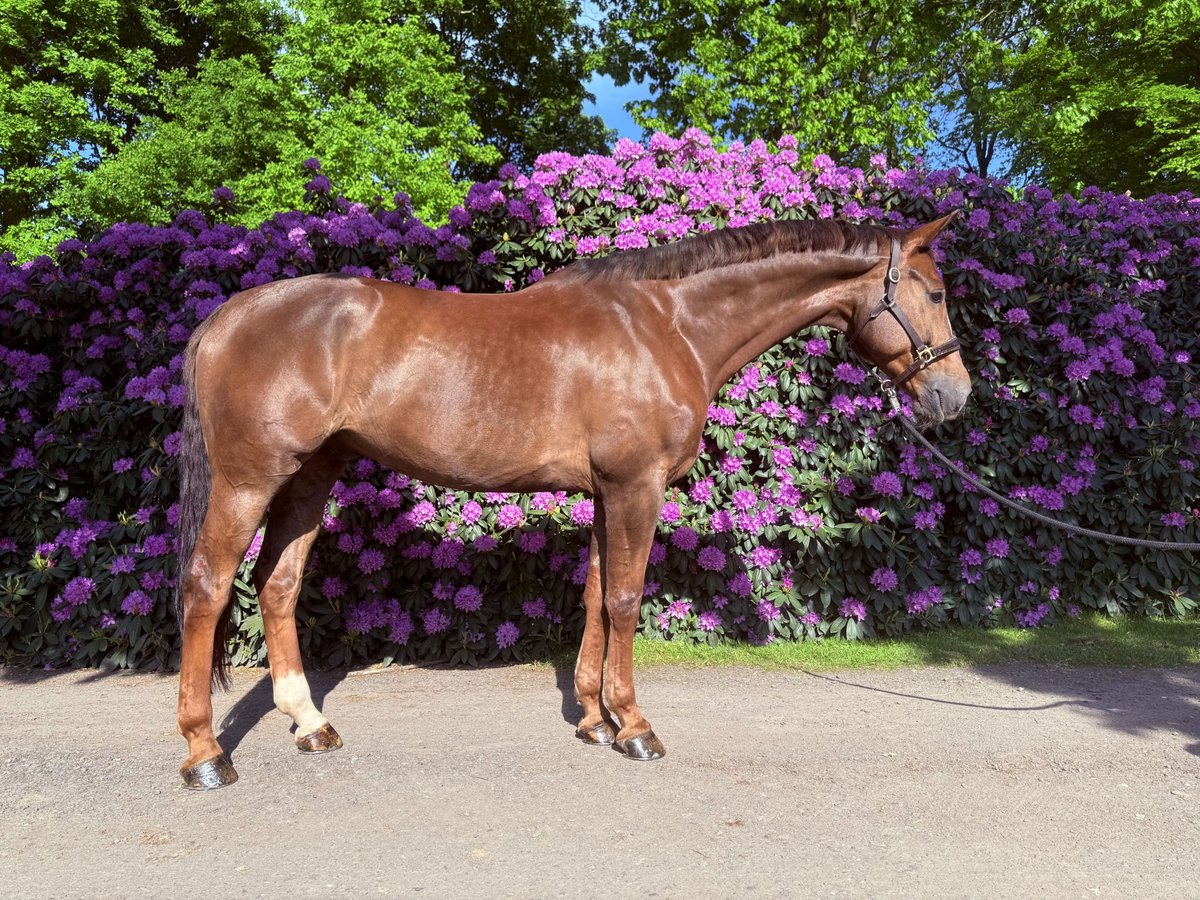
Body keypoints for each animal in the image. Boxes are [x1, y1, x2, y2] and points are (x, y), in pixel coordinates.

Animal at [174, 213, 971, 789]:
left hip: (311, 476)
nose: (954, 395)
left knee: (277, 585)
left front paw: (593, 719)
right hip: (249, 480)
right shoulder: (635, 485)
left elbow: (593, 596)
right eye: (933, 294)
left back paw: (310, 724)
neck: (666, 326)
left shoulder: (605, 493)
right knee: (207, 587)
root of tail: (225, 317)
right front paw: (636, 727)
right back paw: (205, 754)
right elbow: (624, 599)